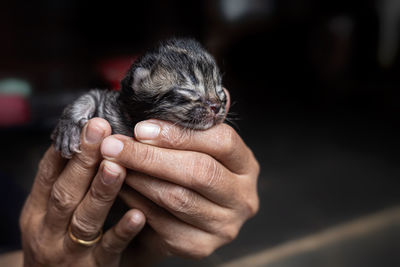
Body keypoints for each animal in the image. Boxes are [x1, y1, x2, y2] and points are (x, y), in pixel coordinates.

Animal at [51, 38, 227, 159]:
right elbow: (91, 95)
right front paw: (69, 129)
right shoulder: (108, 103)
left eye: (220, 91)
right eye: (189, 89)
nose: (216, 105)